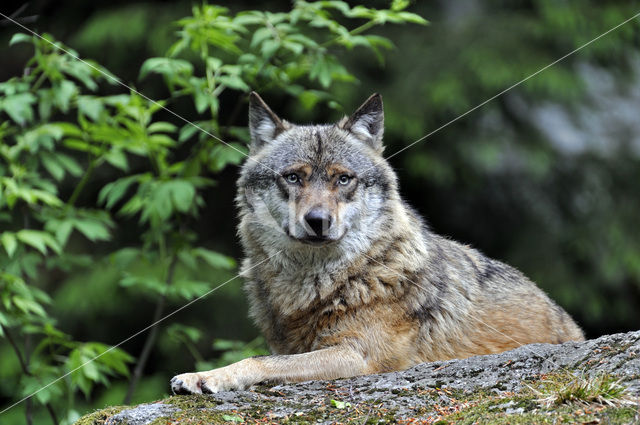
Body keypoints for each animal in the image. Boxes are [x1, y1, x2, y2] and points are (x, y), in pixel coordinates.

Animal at [170, 93, 584, 394]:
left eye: (343, 179)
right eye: (293, 178)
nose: (318, 221)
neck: (315, 285)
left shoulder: (360, 356)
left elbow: (258, 361)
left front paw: (208, 377)